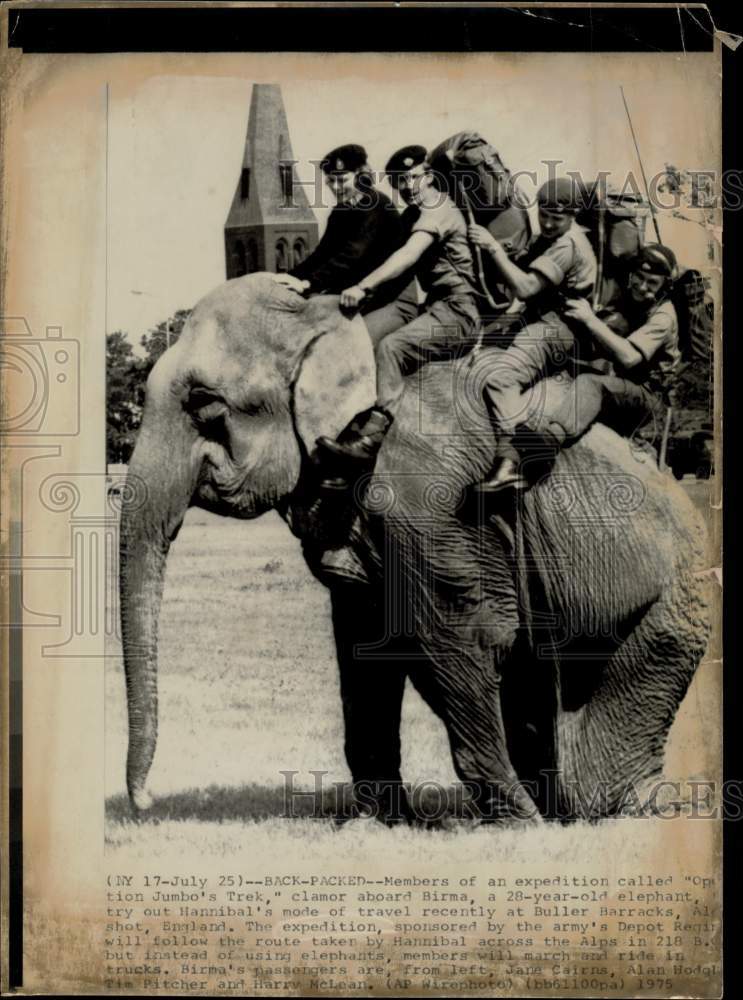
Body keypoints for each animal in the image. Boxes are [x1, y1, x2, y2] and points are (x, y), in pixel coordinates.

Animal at [119, 272, 712, 820]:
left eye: (204, 405)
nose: (145, 801)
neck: (334, 326)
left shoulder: (425, 500)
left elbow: (470, 633)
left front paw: (519, 821)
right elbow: (366, 641)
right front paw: (381, 820)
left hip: (678, 601)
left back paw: (611, 806)